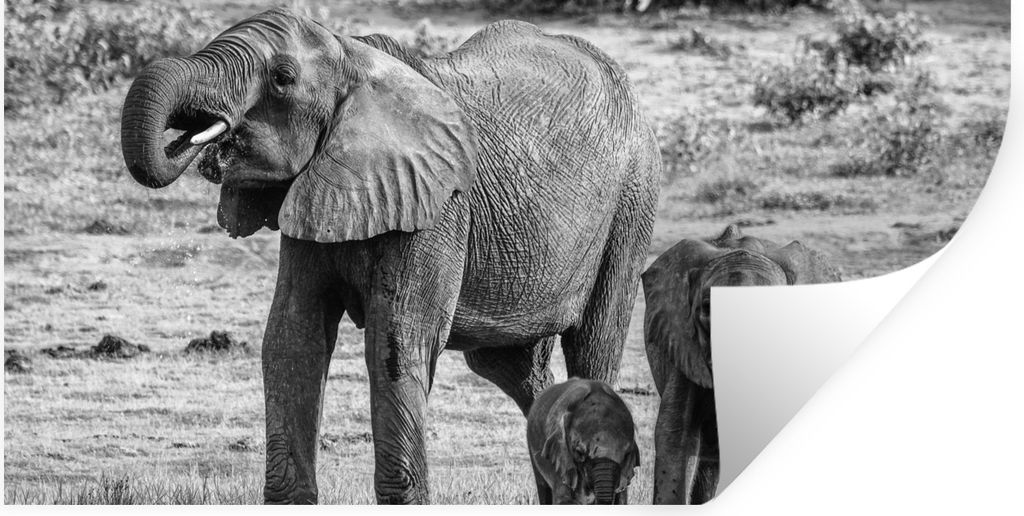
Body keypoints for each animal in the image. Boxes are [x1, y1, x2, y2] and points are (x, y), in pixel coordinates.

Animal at [119, 8, 660, 504]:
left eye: (282, 78)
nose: (193, 141)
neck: (354, 58)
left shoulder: (439, 206)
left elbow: (396, 344)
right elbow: (293, 337)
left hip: (632, 203)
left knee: (595, 345)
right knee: (512, 369)